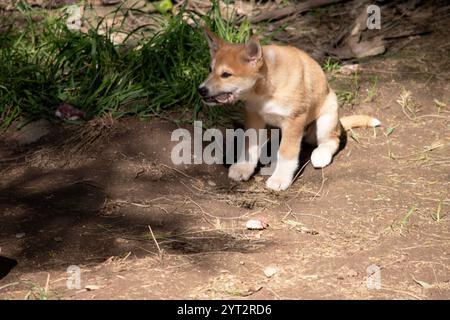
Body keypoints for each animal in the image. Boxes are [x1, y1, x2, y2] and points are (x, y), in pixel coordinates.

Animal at [199, 28, 382, 191]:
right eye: (210, 70)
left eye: (226, 75)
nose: (201, 90)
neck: (263, 91)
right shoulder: (254, 116)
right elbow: (250, 144)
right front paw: (243, 168)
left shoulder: (294, 120)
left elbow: (286, 152)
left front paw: (280, 179)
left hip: (326, 120)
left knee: (331, 140)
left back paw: (320, 155)